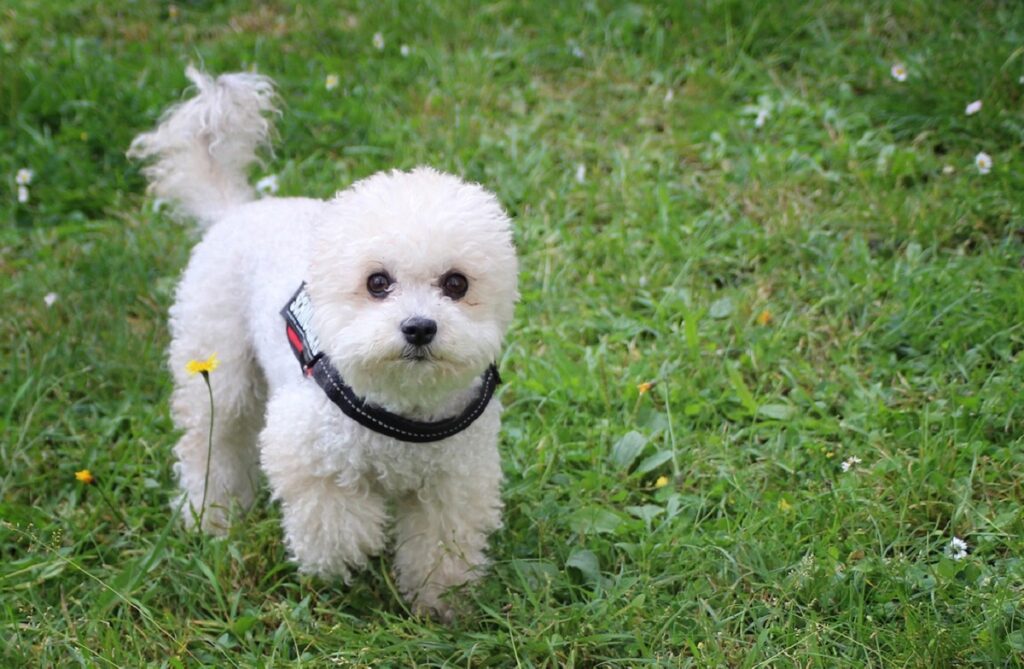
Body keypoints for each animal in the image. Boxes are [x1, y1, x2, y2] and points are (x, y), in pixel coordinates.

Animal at [130, 65, 520, 618]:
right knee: (211, 442)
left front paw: (439, 602)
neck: (400, 406)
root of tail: (236, 210)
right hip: (216, 363)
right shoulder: (307, 448)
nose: (419, 327)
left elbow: (441, 544)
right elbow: (334, 520)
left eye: (456, 284)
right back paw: (212, 513)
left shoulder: (455, 480)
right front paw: (345, 559)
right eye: (377, 282)